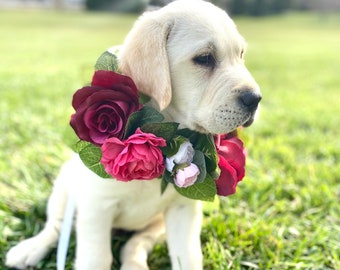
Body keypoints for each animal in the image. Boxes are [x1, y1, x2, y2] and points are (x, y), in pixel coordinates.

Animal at [5, 1, 262, 268]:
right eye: (204, 58)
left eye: (241, 55)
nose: (255, 99)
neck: (166, 142)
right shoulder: (96, 207)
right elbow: (96, 258)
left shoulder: (183, 209)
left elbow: (188, 256)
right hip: (66, 185)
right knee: (55, 226)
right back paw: (30, 248)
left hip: (156, 225)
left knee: (135, 244)